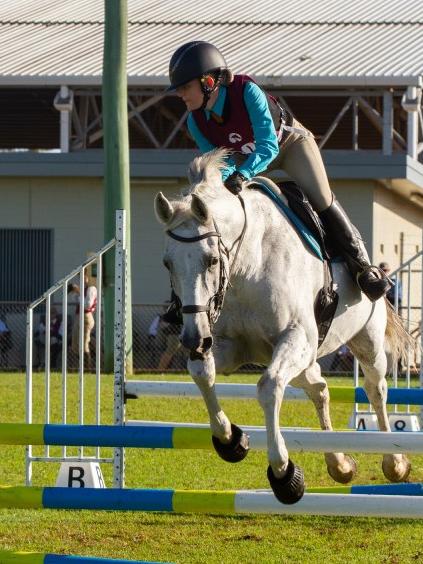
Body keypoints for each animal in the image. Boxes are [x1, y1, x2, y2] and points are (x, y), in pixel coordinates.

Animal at [154, 148, 412, 504]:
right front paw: (231, 440)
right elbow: (202, 373)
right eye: (168, 263)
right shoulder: (231, 346)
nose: (194, 338)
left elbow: (269, 387)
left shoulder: (295, 337)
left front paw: (284, 473)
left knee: (376, 389)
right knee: (319, 389)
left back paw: (394, 462)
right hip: (305, 358)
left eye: (211, 260)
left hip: (365, 342)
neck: (247, 265)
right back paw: (340, 465)